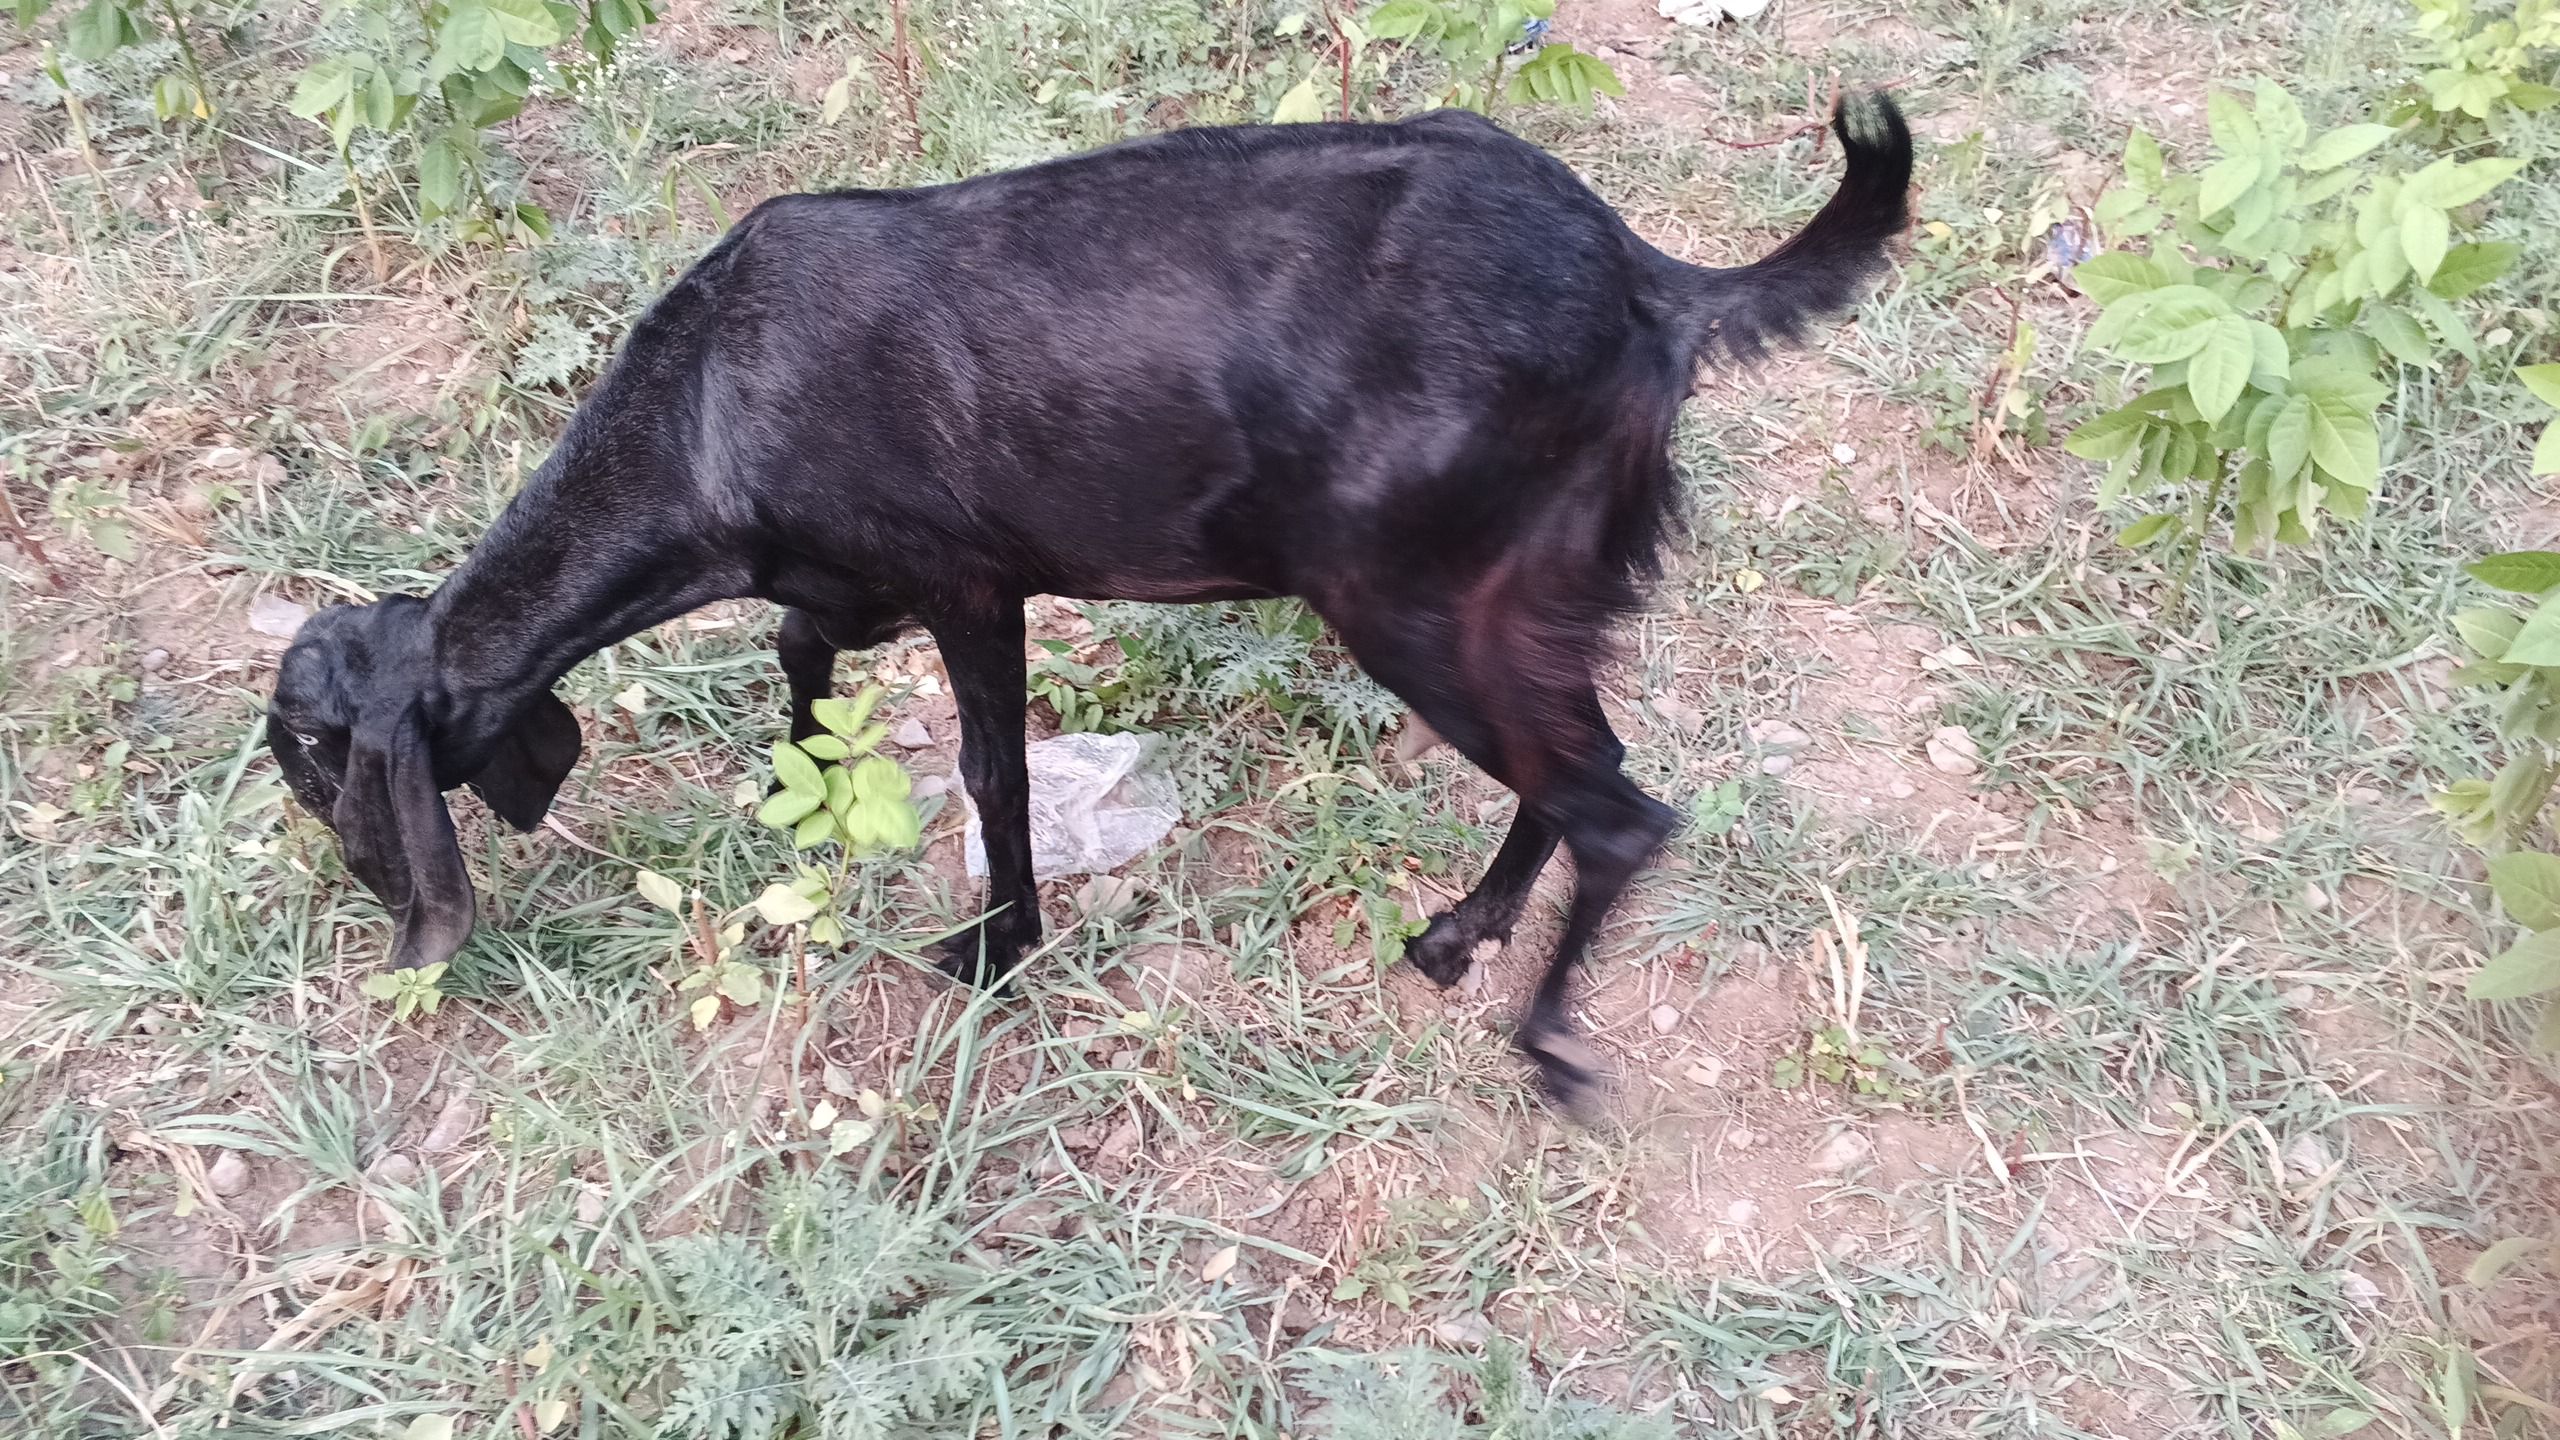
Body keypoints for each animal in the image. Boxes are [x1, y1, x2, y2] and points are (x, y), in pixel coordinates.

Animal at [266, 96, 1913, 1107]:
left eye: (313, 759)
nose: (353, 894)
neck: (709, 405)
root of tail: (1647, 284)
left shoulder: (969, 583)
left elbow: (992, 770)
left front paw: (1000, 947)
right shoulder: (854, 581)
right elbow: (801, 651)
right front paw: (803, 793)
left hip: (1417, 598)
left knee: (1615, 806)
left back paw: (1547, 1042)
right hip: (1533, 589)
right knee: (1579, 770)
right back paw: (1463, 934)